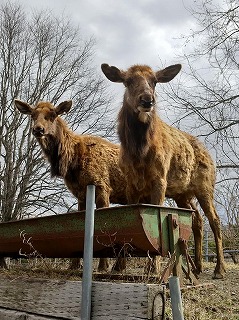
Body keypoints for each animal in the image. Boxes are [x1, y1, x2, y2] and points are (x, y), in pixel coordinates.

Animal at [14, 99, 129, 272]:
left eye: (52, 115)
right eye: (33, 115)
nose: (38, 129)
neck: (71, 162)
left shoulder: (102, 186)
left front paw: (103, 266)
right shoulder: (80, 193)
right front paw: (74, 265)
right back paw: (119, 267)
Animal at [101, 62, 226, 278]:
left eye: (154, 81)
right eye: (128, 81)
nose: (147, 100)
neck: (139, 153)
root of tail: (210, 155)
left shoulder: (159, 179)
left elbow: (157, 220)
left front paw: (154, 268)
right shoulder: (131, 184)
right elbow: (130, 222)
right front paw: (119, 266)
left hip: (206, 187)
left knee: (215, 220)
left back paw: (219, 269)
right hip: (182, 193)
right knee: (197, 219)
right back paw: (198, 266)